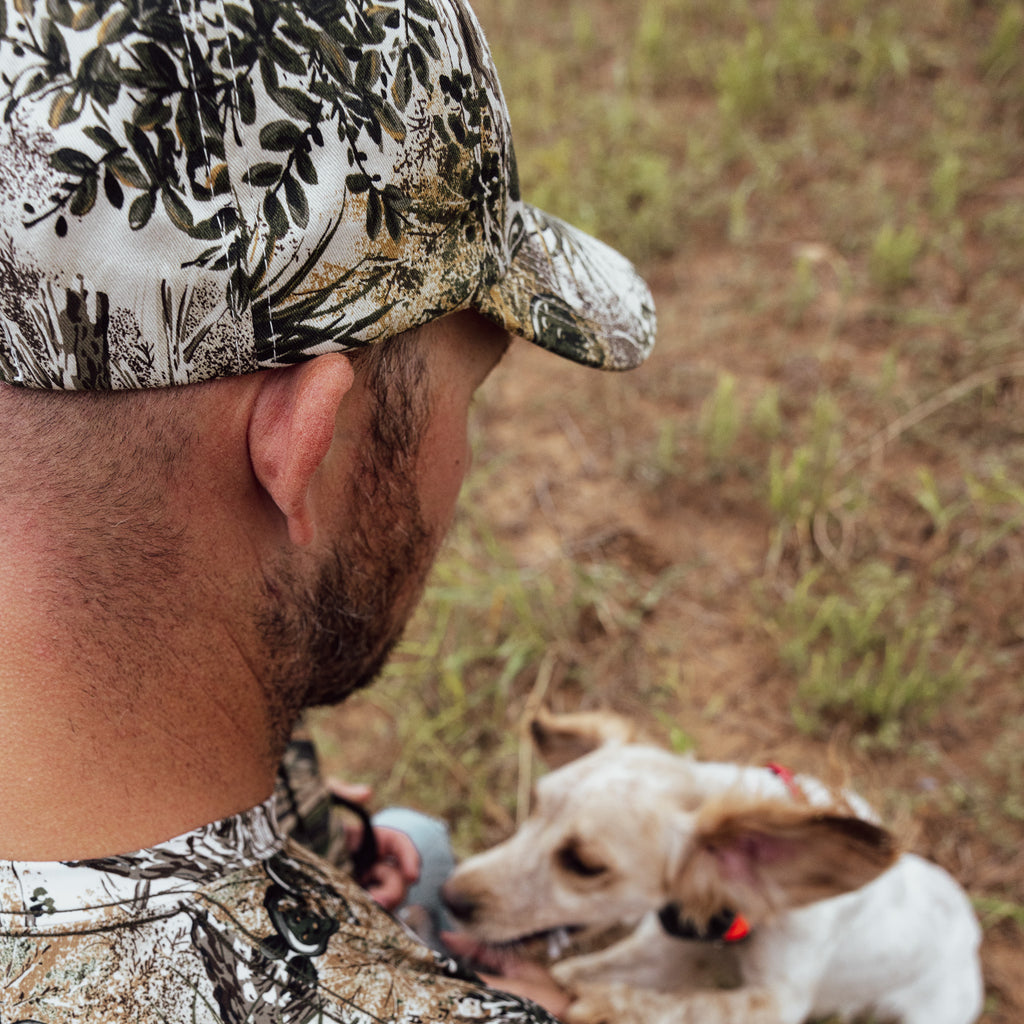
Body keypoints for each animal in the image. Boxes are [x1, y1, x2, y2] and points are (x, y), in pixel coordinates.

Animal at [442, 712, 983, 1024]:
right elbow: (575, 971)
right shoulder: (669, 948)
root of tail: (971, 932)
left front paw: (600, 1006)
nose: (449, 896)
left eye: (584, 864)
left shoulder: (776, 1000)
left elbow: (691, 1003)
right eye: (533, 805)